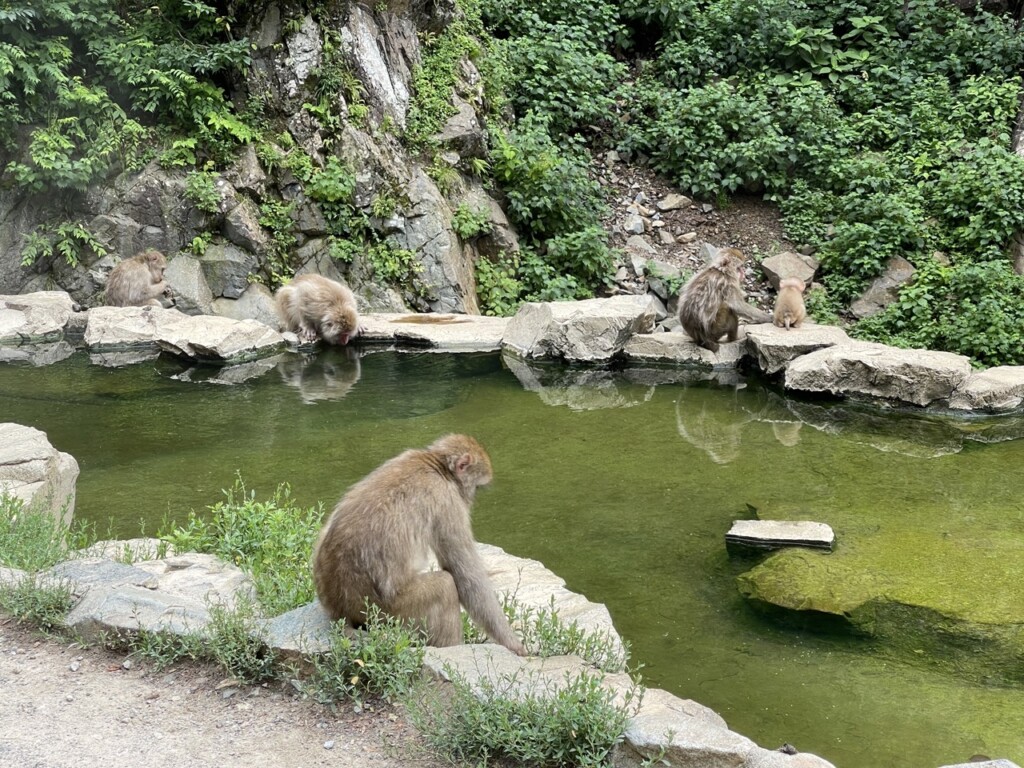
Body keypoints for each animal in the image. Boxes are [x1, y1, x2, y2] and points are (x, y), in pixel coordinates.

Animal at [311, 436, 528, 659]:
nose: (470, 499)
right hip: (391, 611)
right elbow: (466, 575)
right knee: (445, 585)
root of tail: (339, 611)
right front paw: (513, 644)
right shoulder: (448, 502)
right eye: (476, 487)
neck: (437, 465)